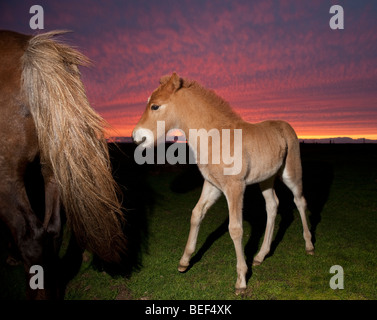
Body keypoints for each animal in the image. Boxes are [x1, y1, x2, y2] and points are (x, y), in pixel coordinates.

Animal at [132, 74, 314, 294]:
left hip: (291, 173)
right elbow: (196, 214)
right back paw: (261, 255)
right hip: (266, 179)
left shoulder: (235, 187)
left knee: (300, 201)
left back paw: (309, 246)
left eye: (155, 106)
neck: (215, 138)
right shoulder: (212, 185)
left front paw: (241, 281)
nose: (137, 137)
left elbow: (235, 228)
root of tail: (286, 125)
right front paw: (184, 261)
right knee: (272, 206)